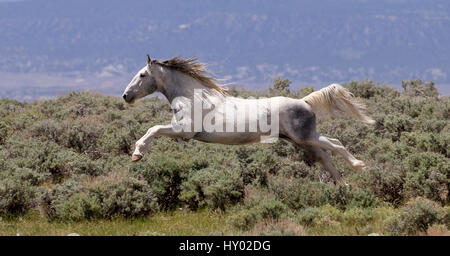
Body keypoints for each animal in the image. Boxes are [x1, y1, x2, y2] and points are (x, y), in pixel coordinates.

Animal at [121, 55, 374, 184]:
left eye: (142, 74)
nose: (126, 96)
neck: (194, 97)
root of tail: (305, 101)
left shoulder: (183, 131)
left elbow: (153, 129)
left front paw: (137, 154)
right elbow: (152, 129)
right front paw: (136, 155)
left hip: (306, 137)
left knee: (336, 144)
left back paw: (359, 166)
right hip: (302, 141)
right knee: (325, 157)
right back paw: (342, 186)